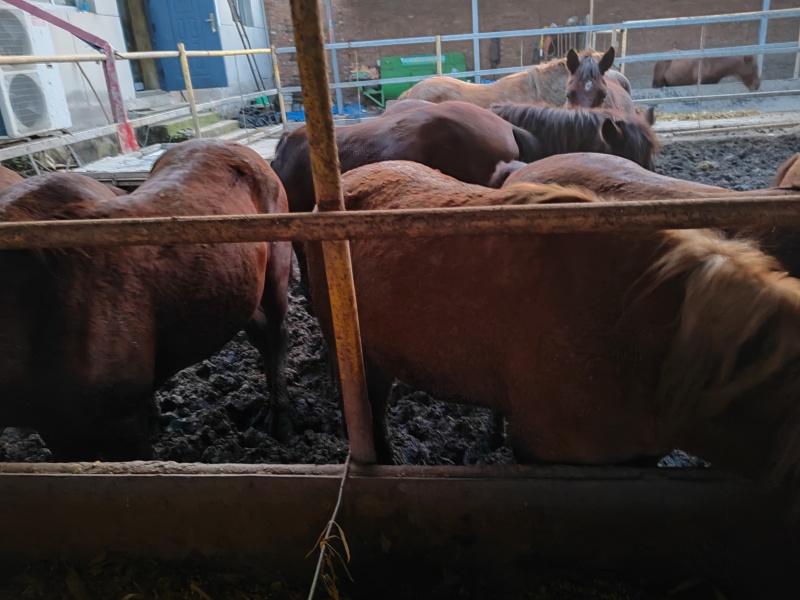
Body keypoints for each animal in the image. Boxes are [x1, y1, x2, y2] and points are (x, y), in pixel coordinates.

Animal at [0, 139, 292, 460]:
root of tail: (237, 146)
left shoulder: (121, 420)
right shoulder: (56, 426)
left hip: (277, 270)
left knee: (276, 335)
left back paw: (278, 421)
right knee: (259, 333)